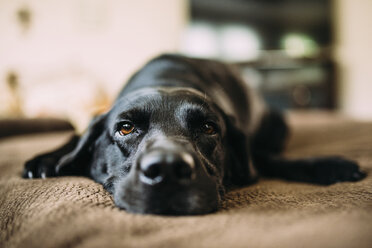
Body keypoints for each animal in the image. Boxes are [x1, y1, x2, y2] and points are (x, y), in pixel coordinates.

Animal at [23, 54, 366, 215]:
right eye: (125, 127)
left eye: (208, 127)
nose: (166, 170)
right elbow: (73, 137)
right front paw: (46, 159)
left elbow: (268, 160)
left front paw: (331, 165)